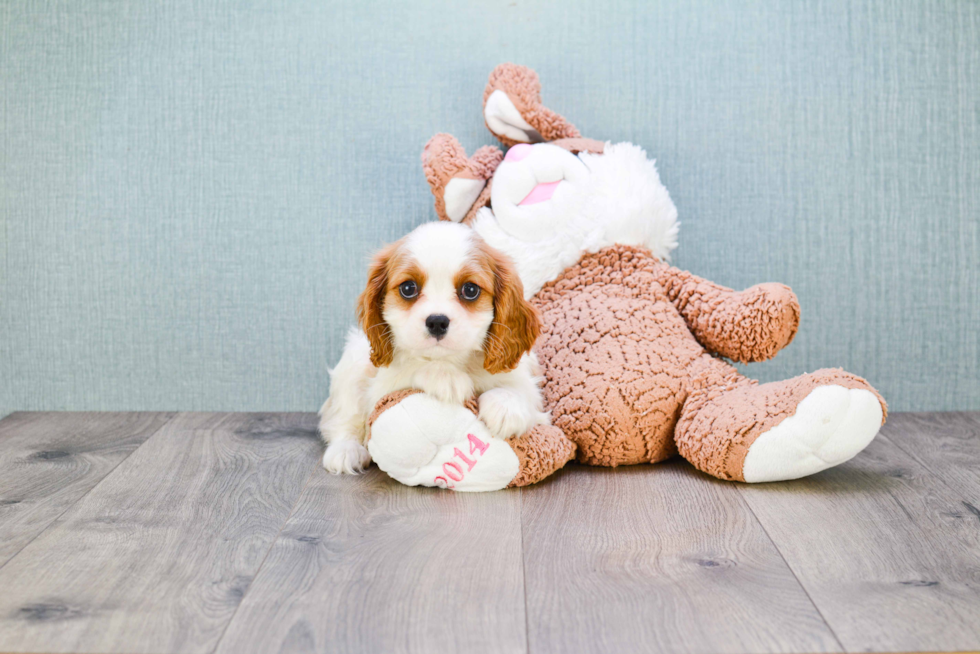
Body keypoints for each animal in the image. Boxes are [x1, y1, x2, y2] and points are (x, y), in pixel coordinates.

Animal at [322, 223, 552, 474]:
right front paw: (445, 377)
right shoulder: (383, 389)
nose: (437, 322)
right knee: (343, 418)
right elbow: (412, 368)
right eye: (408, 288)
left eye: (470, 290)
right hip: (353, 362)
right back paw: (346, 450)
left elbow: (519, 390)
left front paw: (506, 407)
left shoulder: (523, 377)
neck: (453, 360)